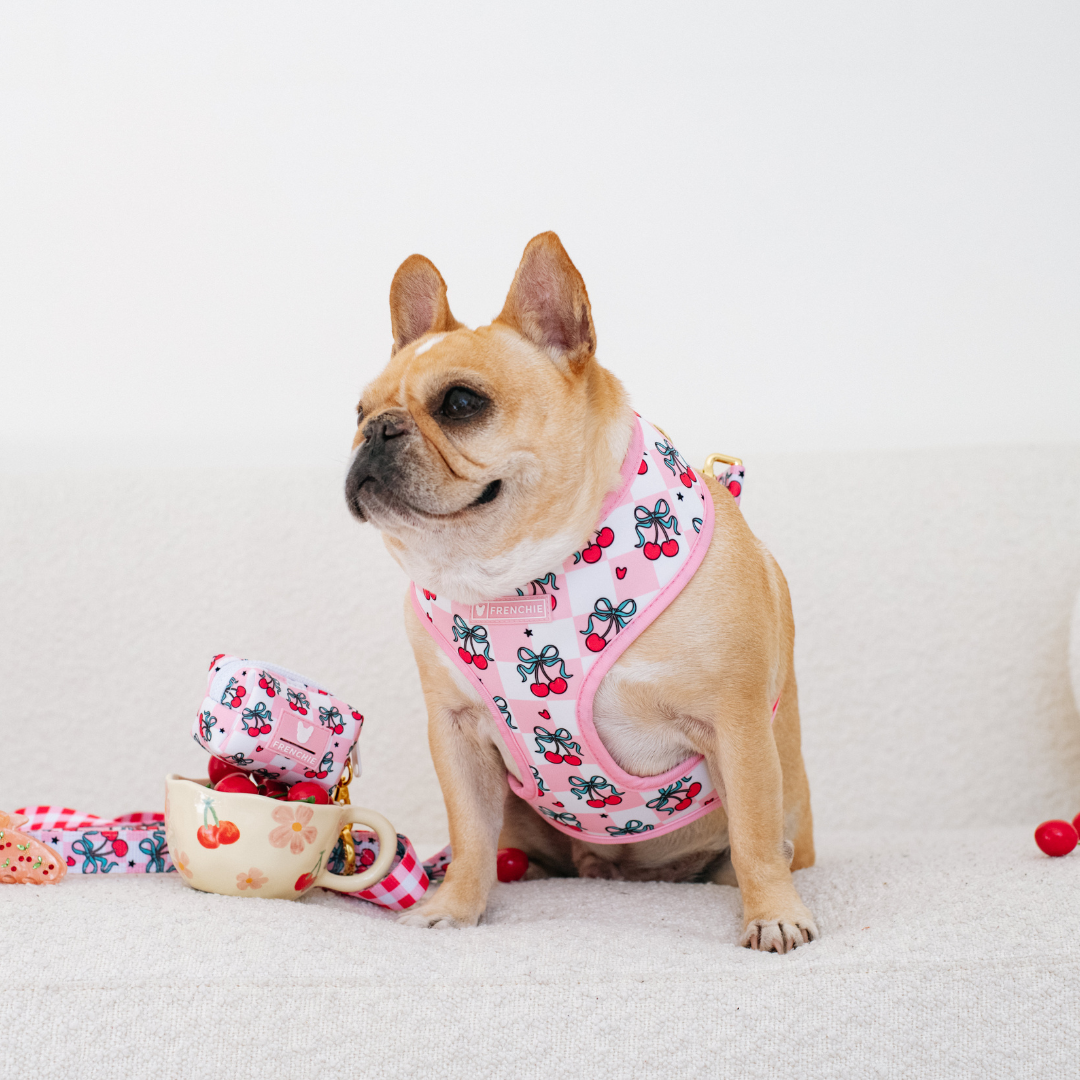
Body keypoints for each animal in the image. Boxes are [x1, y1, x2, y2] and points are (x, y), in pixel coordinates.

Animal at [345, 232, 817, 952]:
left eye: (461, 403)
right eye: (358, 411)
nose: (376, 430)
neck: (519, 573)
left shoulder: (735, 726)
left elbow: (757, 835)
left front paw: (773, 914)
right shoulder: (456, 734)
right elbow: (469, 833)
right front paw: (453, 906)